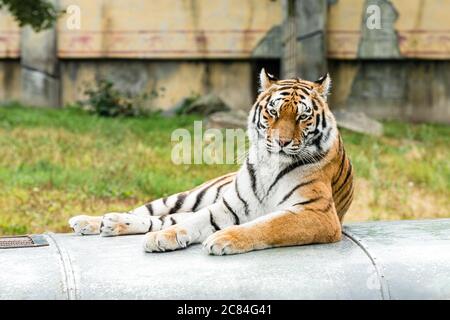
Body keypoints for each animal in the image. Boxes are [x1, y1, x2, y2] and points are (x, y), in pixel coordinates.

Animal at [68, 69, 354, 255]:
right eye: (273, 112)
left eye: (302, 117)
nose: (281, 142)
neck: (271, 167)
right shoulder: (231, 206)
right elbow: (195, 222)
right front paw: (162, 238)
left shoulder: (317, 213)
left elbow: (268, 225)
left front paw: (224, 238)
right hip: (186, 197)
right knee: (152, 213)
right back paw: (93, 221)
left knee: (167, 218)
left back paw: (109, 223)